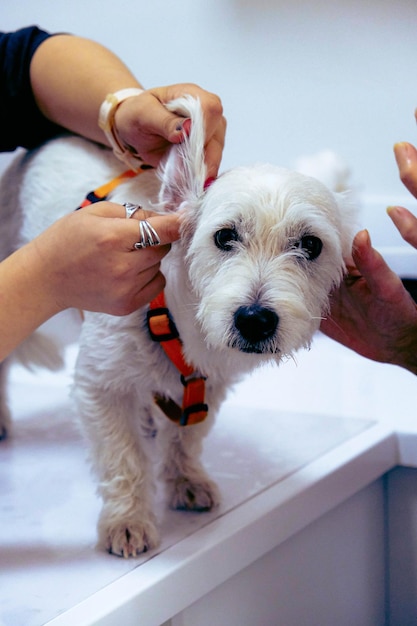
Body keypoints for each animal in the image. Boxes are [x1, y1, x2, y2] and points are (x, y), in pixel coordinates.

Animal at [0, 97, 354, 556]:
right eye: (224, 236)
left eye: (311, 245)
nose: (254, 320)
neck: (178, 324)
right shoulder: (100, 386)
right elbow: (123, 455)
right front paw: (128, 520)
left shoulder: (209, 387)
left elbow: (186, 439)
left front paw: (185, 480)